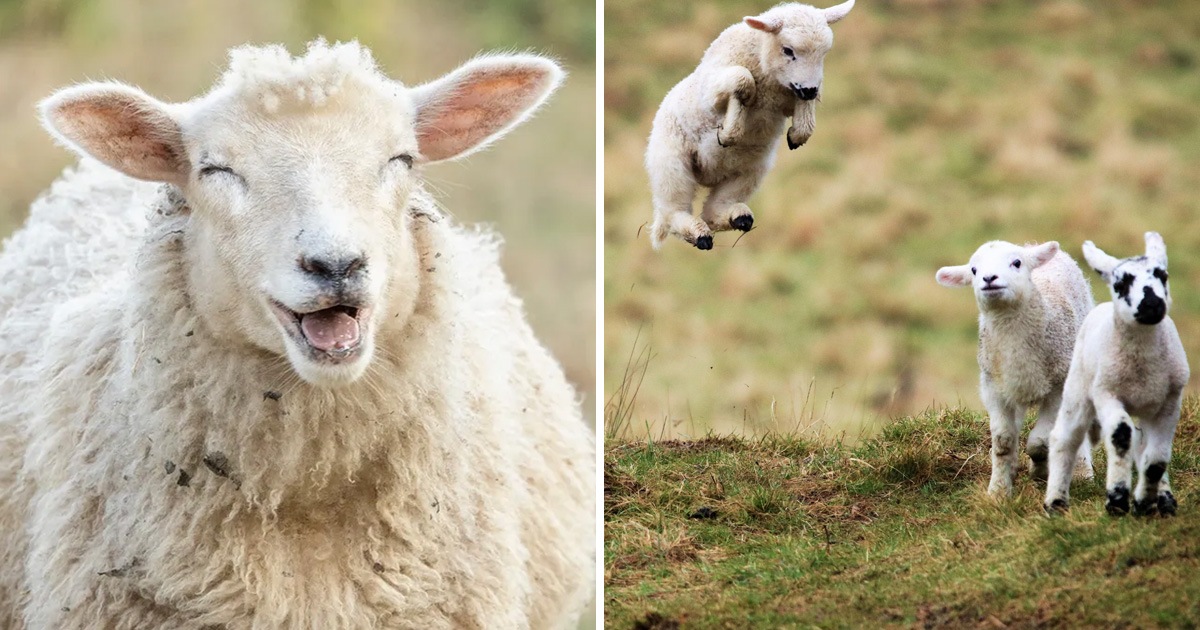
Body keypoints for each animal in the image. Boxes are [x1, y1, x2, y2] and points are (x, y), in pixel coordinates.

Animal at [644, 0, 855, 250]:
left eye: (824, 53)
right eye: (788, 50)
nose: (808, 89)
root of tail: (708, 176)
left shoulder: (794, 95)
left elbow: (809, 102)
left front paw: (798, 135)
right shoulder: (712, 89)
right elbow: (742, 81)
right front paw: (728, 133)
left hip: (750, 171)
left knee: (713, 210)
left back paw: (738, 217)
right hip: (671, 164)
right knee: (673, 211)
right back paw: (699, 234)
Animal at [936, 240, 1095, 498]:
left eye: (1017, 263)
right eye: (973, 270)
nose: (989, 278)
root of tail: (1032, 246)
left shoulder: (1057, 387)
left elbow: (1039, 442)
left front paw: (1039, 471)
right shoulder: (993, 388)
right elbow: (1003, 441)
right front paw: (999, 490)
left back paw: (1082, 472)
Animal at [1044, 233, 1189, 517]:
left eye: (1163, 275)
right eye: (1121, 283)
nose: (1152, 305)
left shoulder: (1170, 401)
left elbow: (1157, 459)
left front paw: (1144, 503)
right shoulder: (1107, 394)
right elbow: (1121, 436)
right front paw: (1118, 500)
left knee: (1144, 446)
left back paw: (1163, 499)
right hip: (1078, 388)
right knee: (1066, 438)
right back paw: (1055, 502)